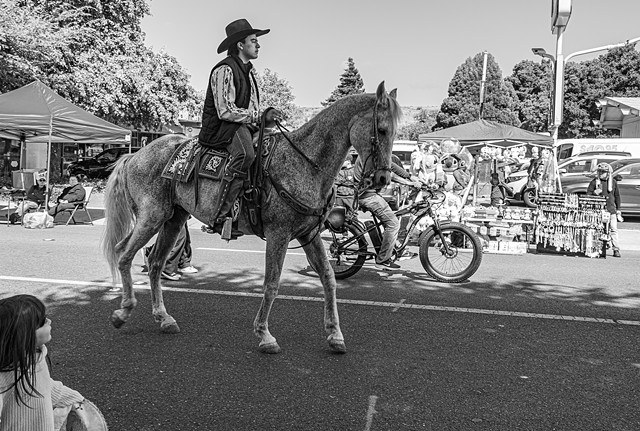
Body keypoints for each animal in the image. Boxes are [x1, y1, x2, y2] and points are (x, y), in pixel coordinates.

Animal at [101, 81, 400, 354]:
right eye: (382, 130)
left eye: (394, 131)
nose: (382, 179)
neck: (305, 163)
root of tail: (134, 155)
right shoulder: (279, 234)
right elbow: (272, 283)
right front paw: (265, 335)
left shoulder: (308, 234)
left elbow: (328, 277)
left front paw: (335, 334)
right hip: (152, 216)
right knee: (125, 254)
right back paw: (122, 311)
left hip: (173, 219)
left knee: (153, 263)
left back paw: (163, 317)